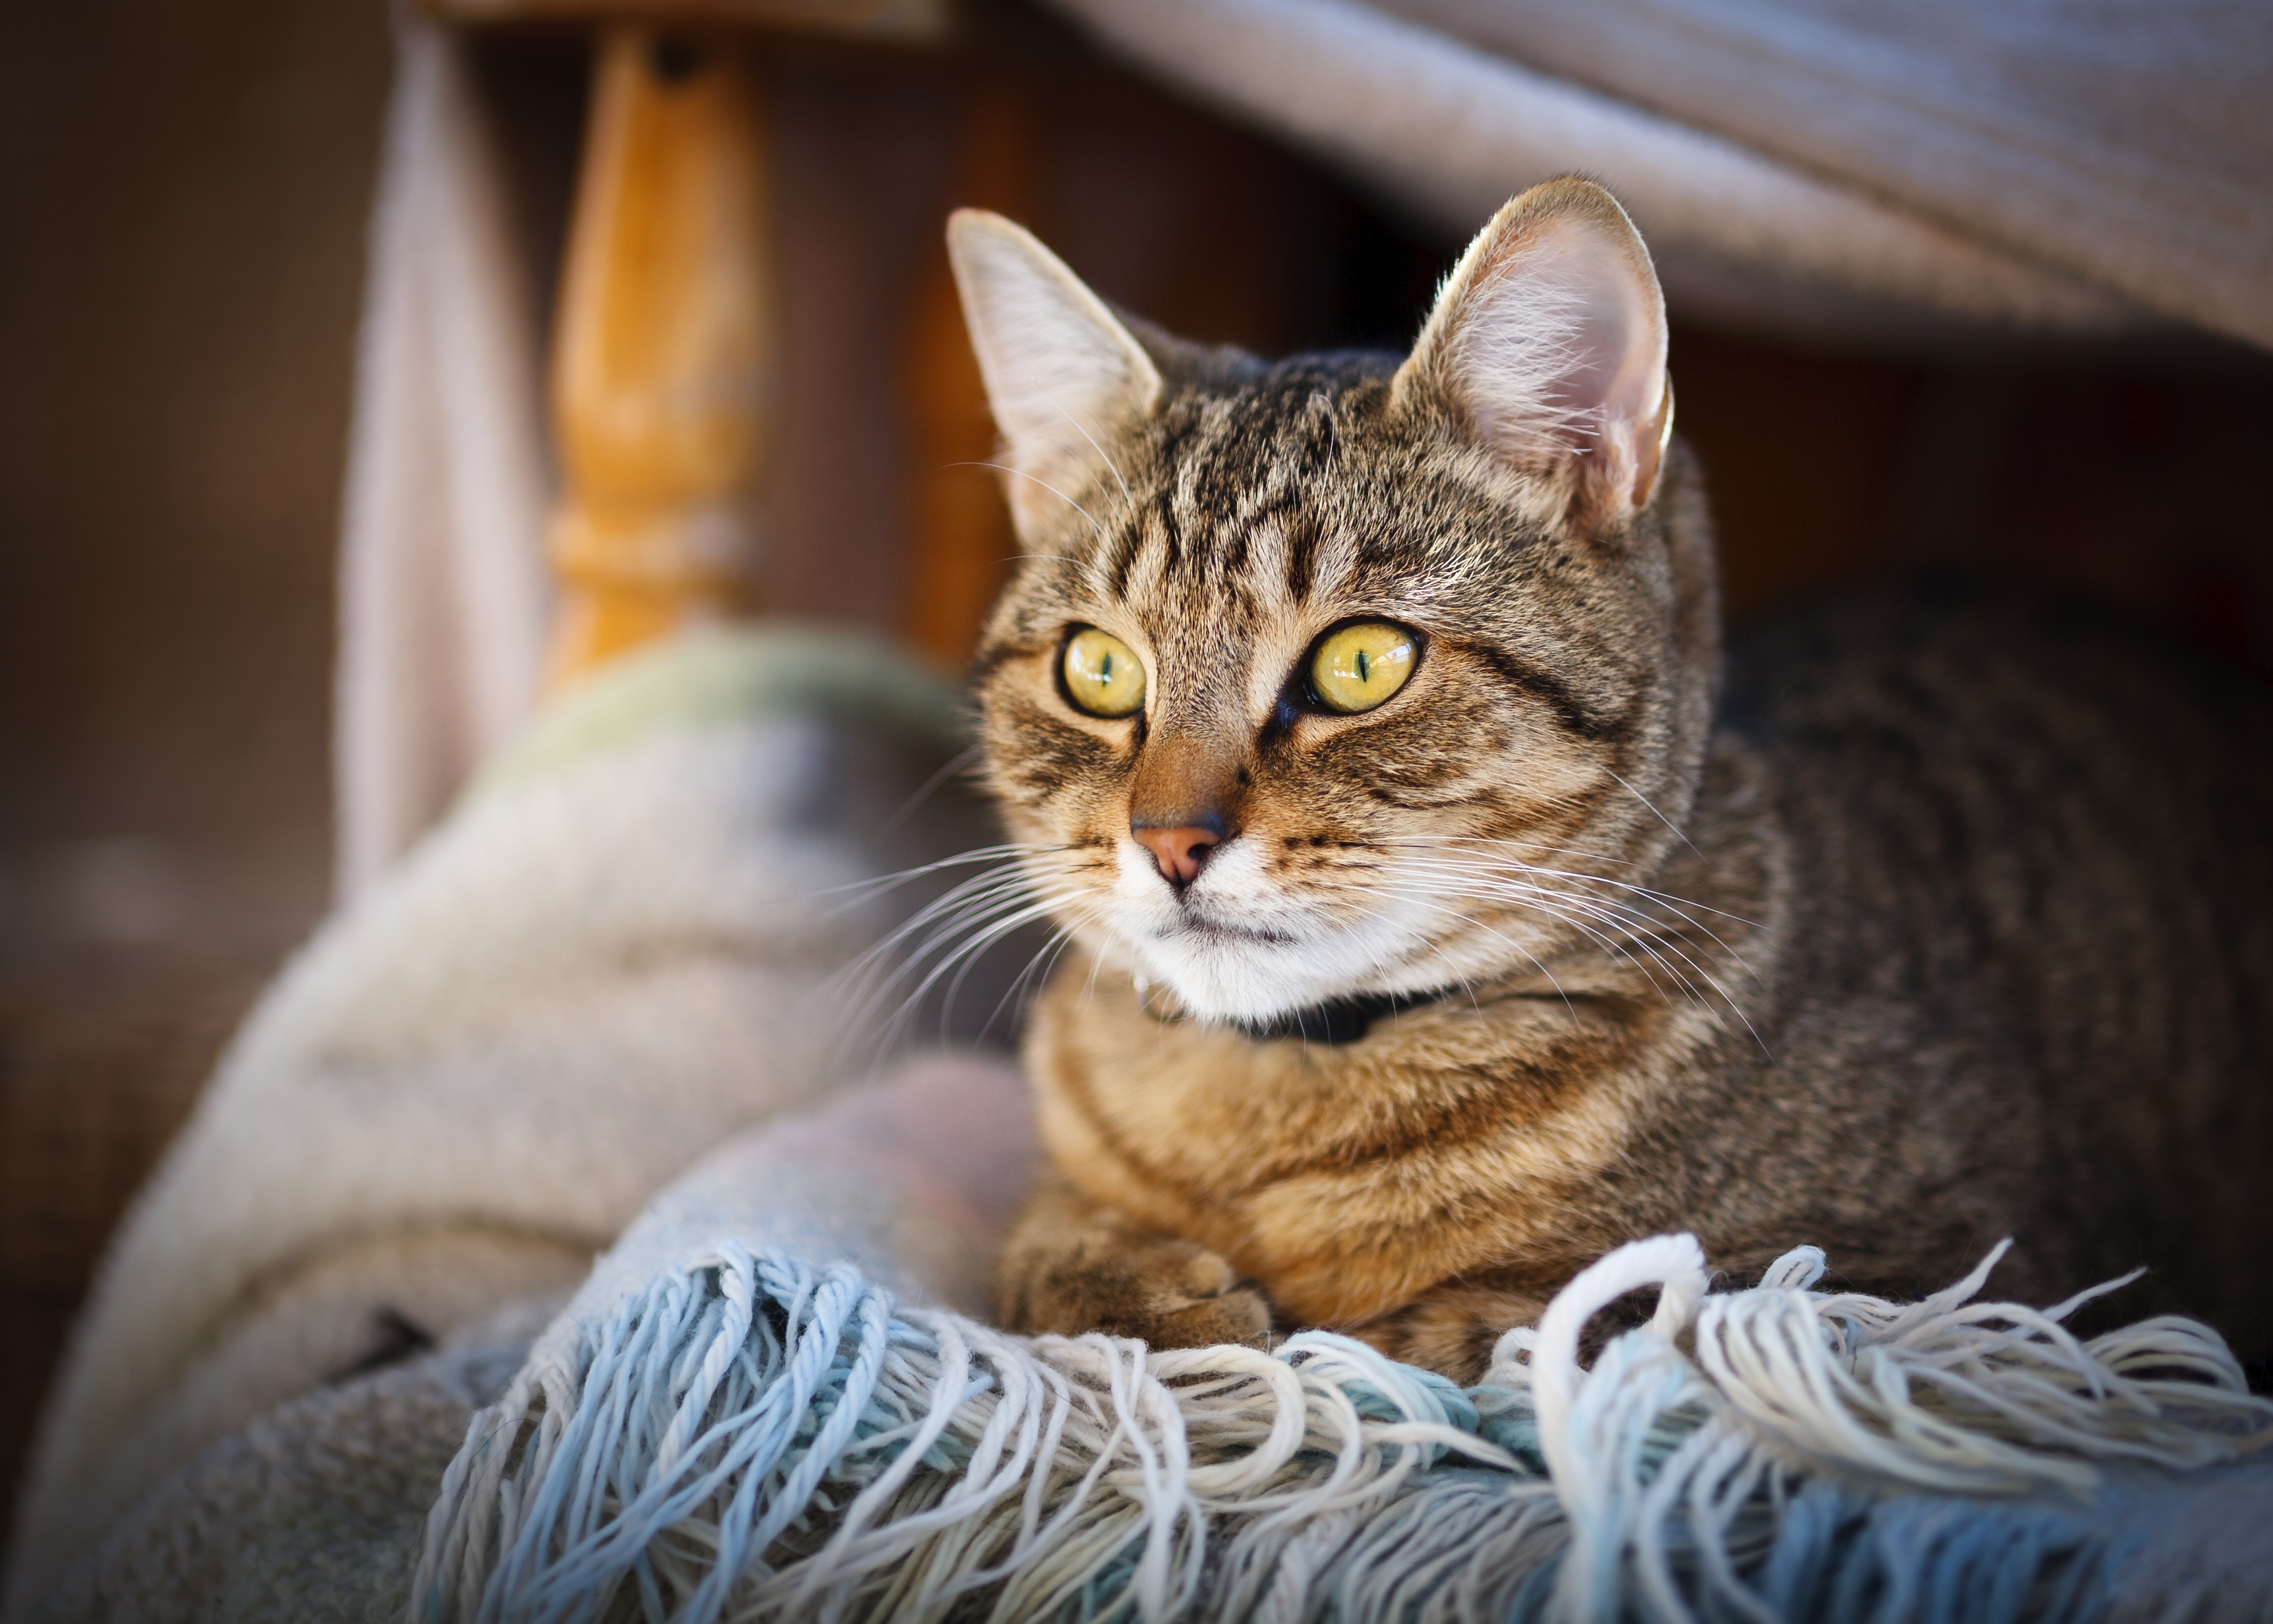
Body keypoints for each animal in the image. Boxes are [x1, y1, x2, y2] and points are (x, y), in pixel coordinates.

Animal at [940, 181, 2273, 1383]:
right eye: (1099, 668)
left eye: (1360, 662)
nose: (1169, 838)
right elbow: (1036, 1246)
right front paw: (1136, 1290)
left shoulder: (1977, 1289)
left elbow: (1585, 1315)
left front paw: (1327, 1337)